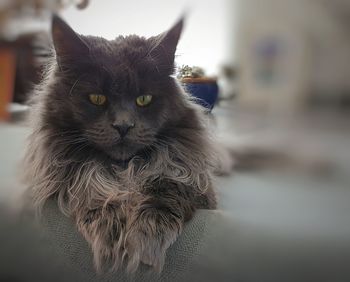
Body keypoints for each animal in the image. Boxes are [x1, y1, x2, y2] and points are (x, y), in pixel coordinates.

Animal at [22, 14, 216, 274]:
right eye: (97, 98)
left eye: (144, 99)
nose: (123, 126)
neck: (124, 168)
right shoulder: (61, 176)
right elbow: (91, 186)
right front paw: (110, 235)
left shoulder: (190, 177)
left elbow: (166, 187)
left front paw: (147, 241)